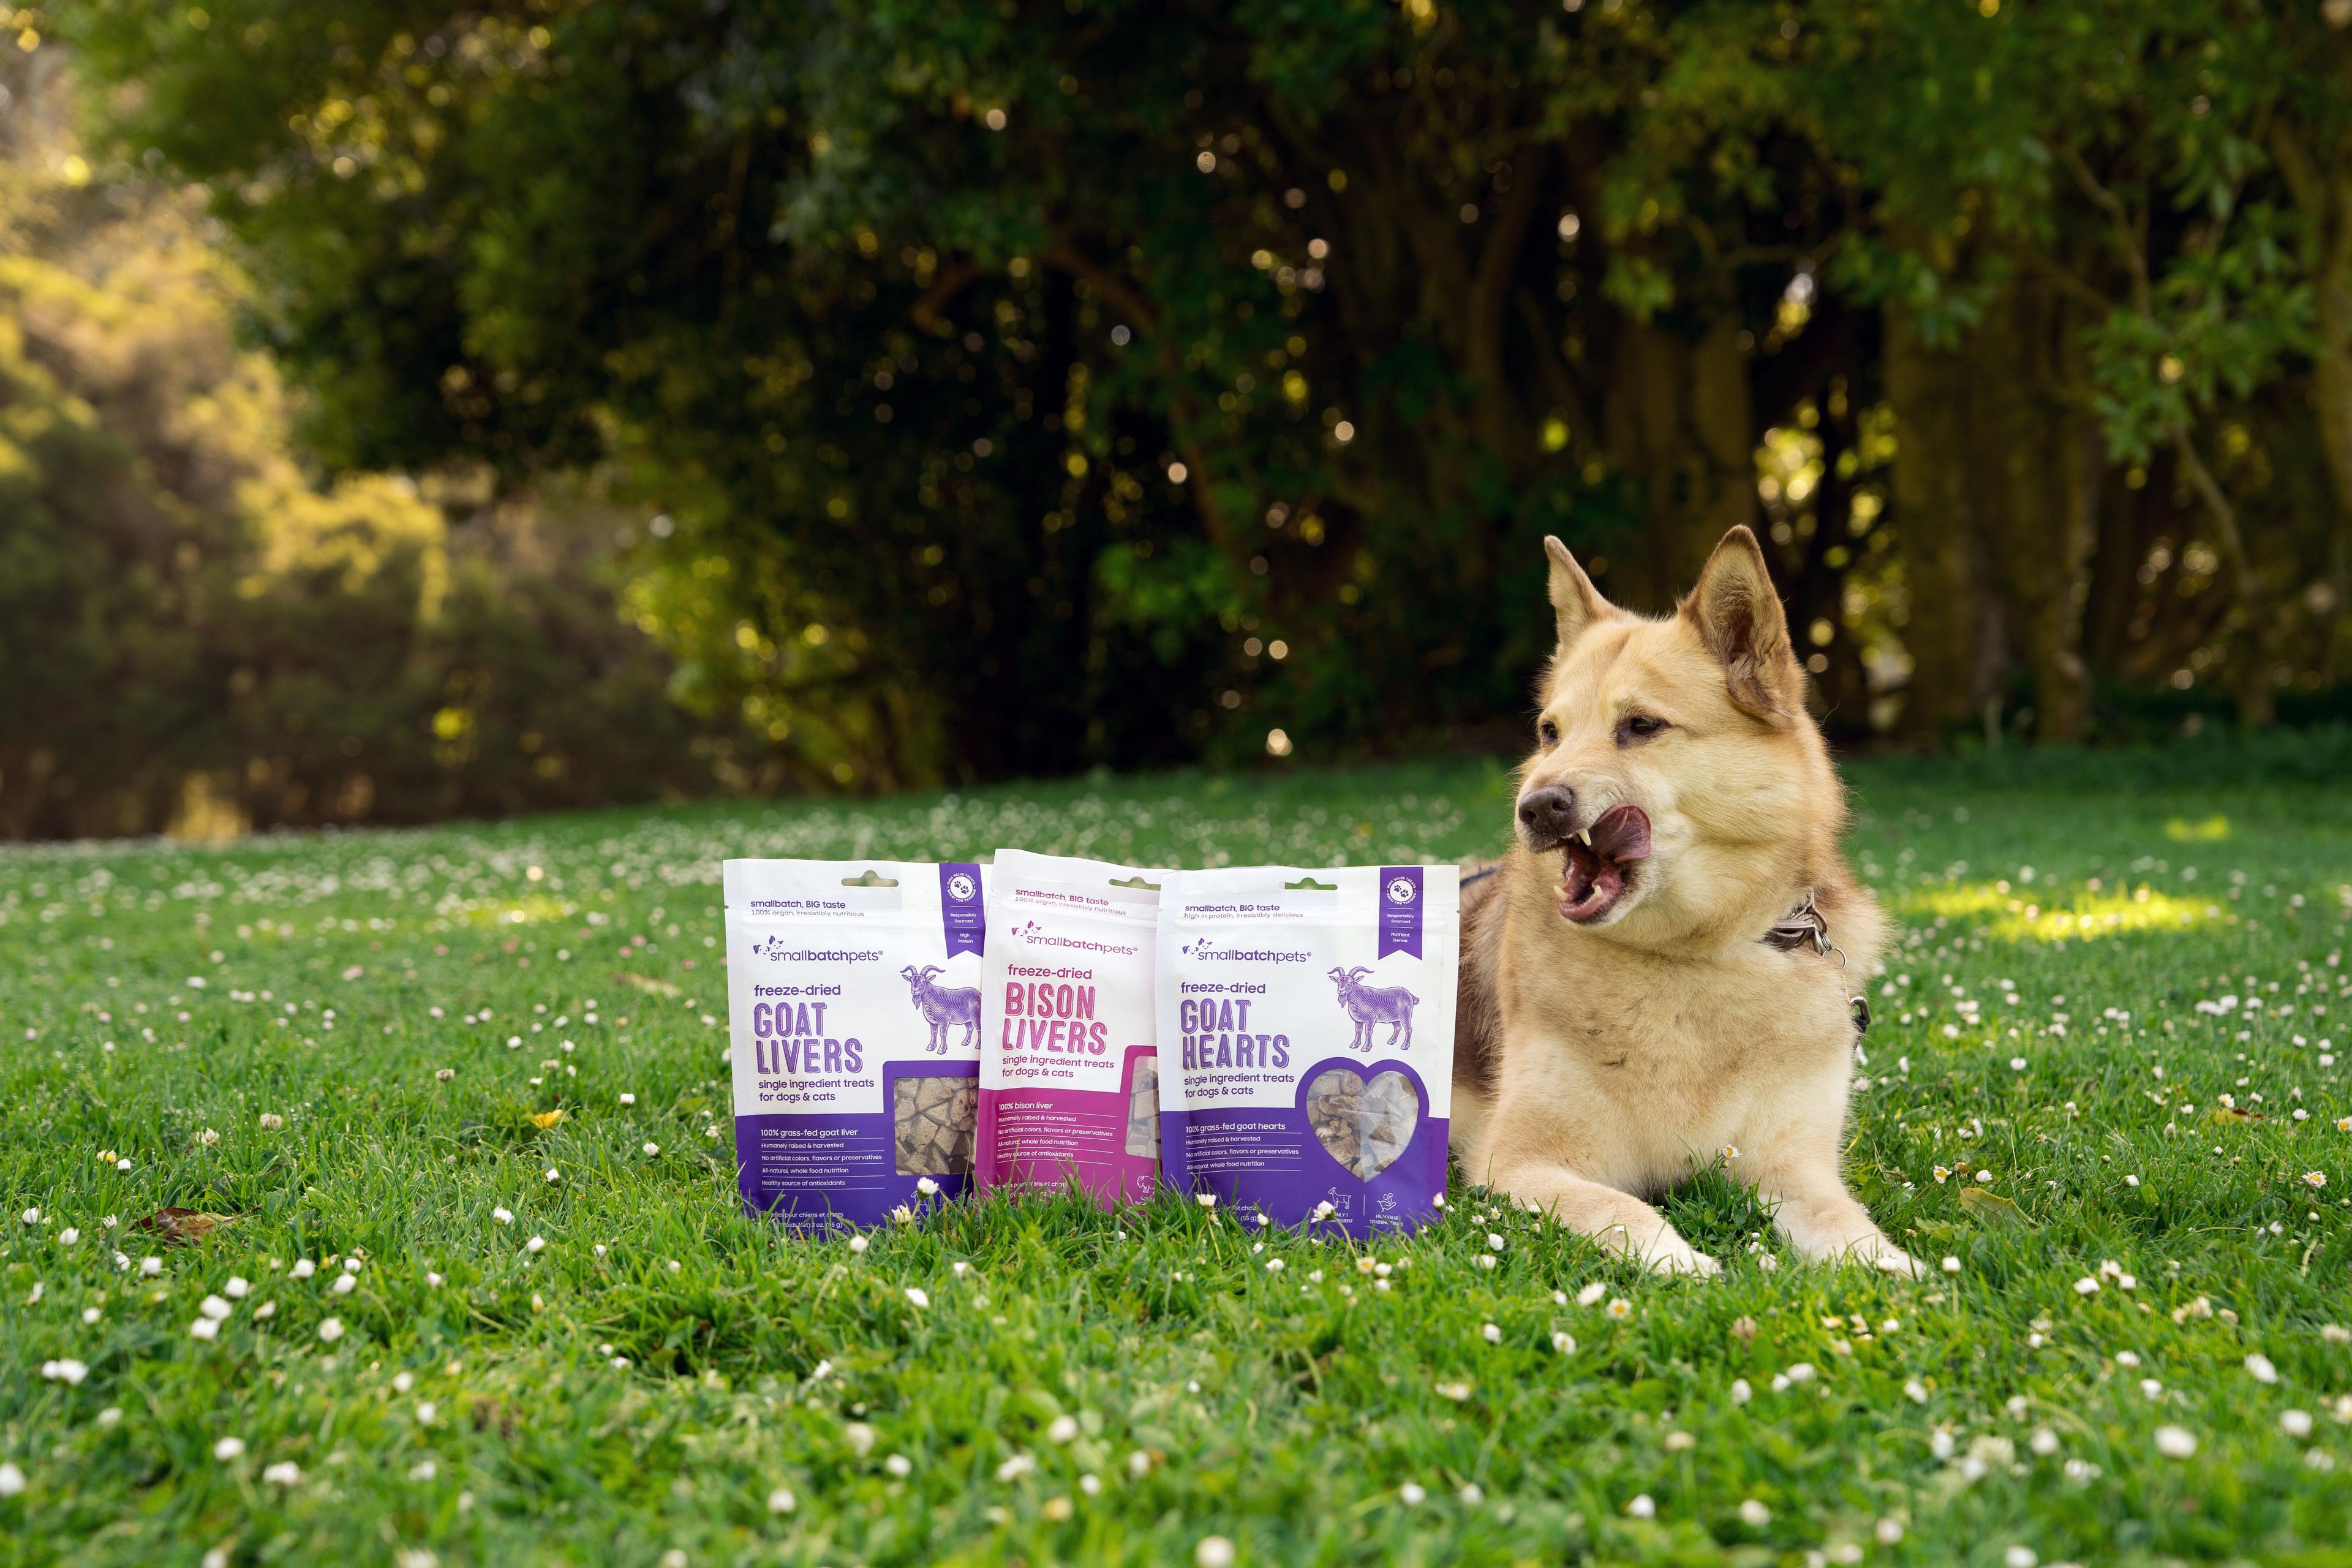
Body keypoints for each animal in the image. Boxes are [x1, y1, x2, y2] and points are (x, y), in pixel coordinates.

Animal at [900, 964, 981, 1055]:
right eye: (911, 981)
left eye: (923, 981)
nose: (914, 991)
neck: (935, 998)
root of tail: (979, 994)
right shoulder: (933, 1022)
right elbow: (934, 1033)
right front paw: (931, 1047)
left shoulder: (944, 1022)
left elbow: (943, 1034)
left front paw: (942, 1049)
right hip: (967, 1020)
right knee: (970, 1028)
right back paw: (965, 1042)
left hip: (976, 1018)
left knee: (979, 1030)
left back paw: (978, 1046)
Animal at [1327, 966, 1418, 1052]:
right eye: (1338, 981)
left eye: (1350, 982)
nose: (1341, 991)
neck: (1361, 997)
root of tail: (1410, 994)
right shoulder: (1358, 1021)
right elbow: (1358, 1030)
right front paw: (1355, 1044)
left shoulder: (1370, 1020)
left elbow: (1368, 1032)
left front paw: (1366, 1047)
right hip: (1395, 1019)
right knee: (1398, 1028)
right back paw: (1391, 1041)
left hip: (1405, 1017)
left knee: (1409, 1030)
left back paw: (1405, 1046)